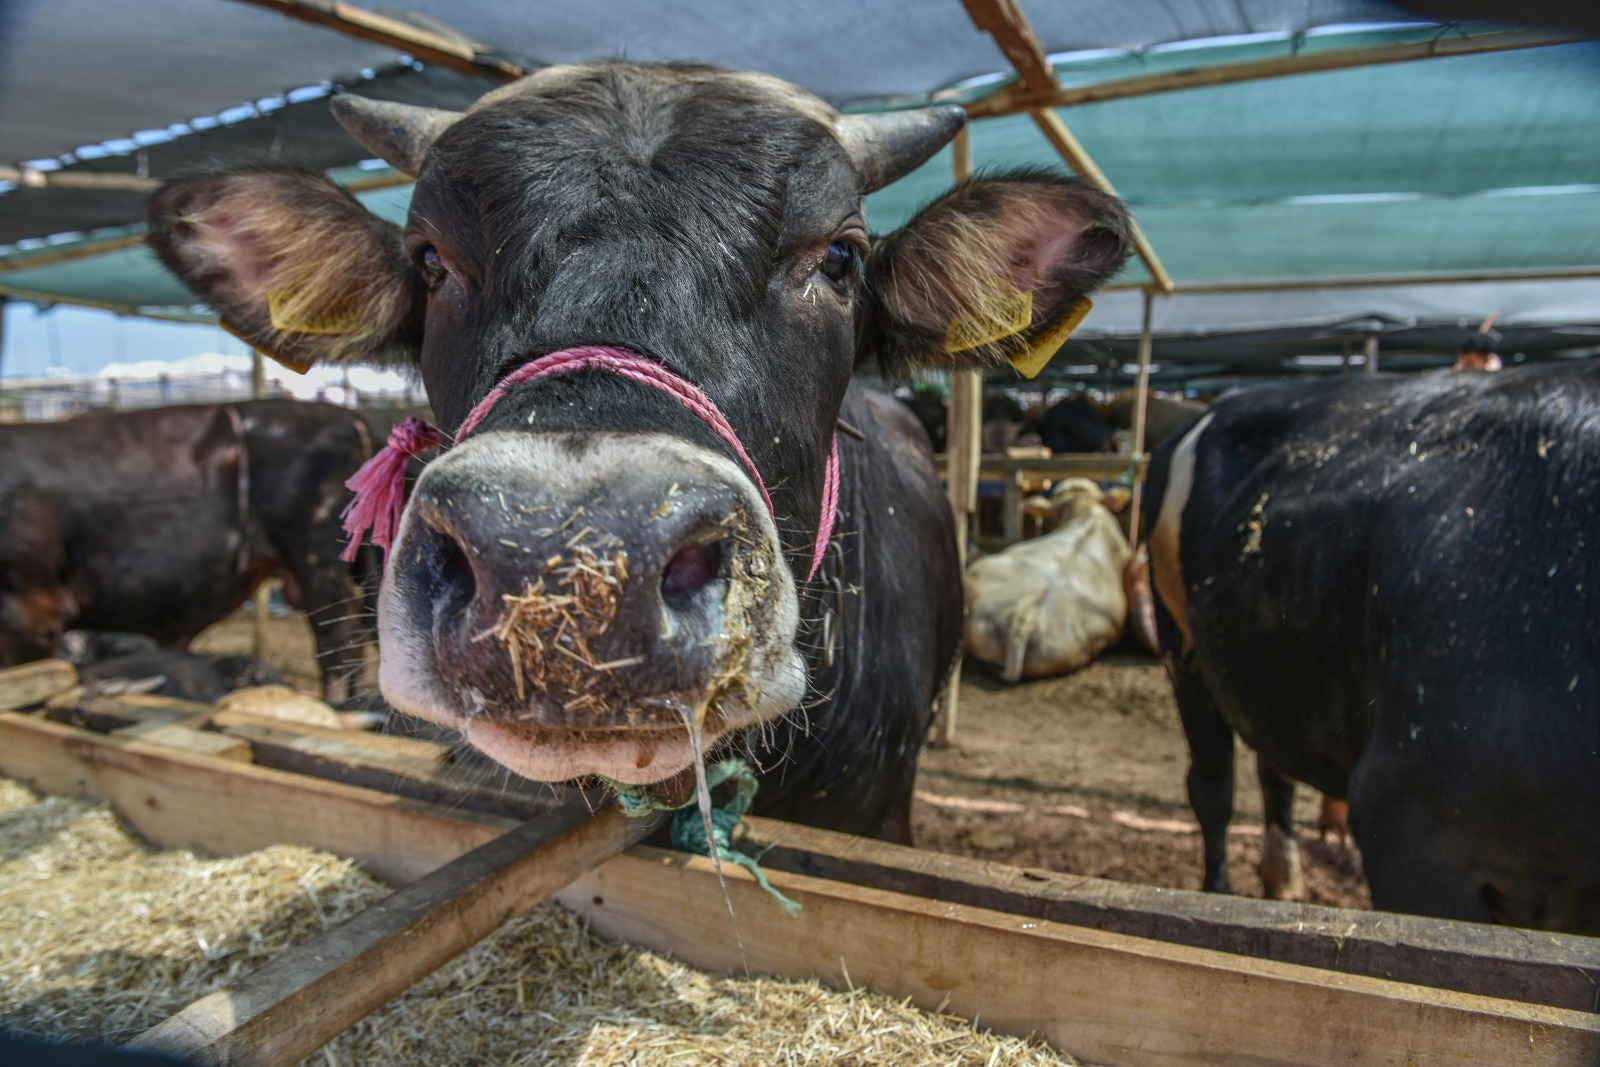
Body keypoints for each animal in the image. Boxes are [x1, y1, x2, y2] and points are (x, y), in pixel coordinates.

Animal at [1145, 363, 1600, 927]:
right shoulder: (1408, 829)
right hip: (1182, 648)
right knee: (1213, 786)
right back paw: (1220, 892)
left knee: (1274, 767)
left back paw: (1282, 880)